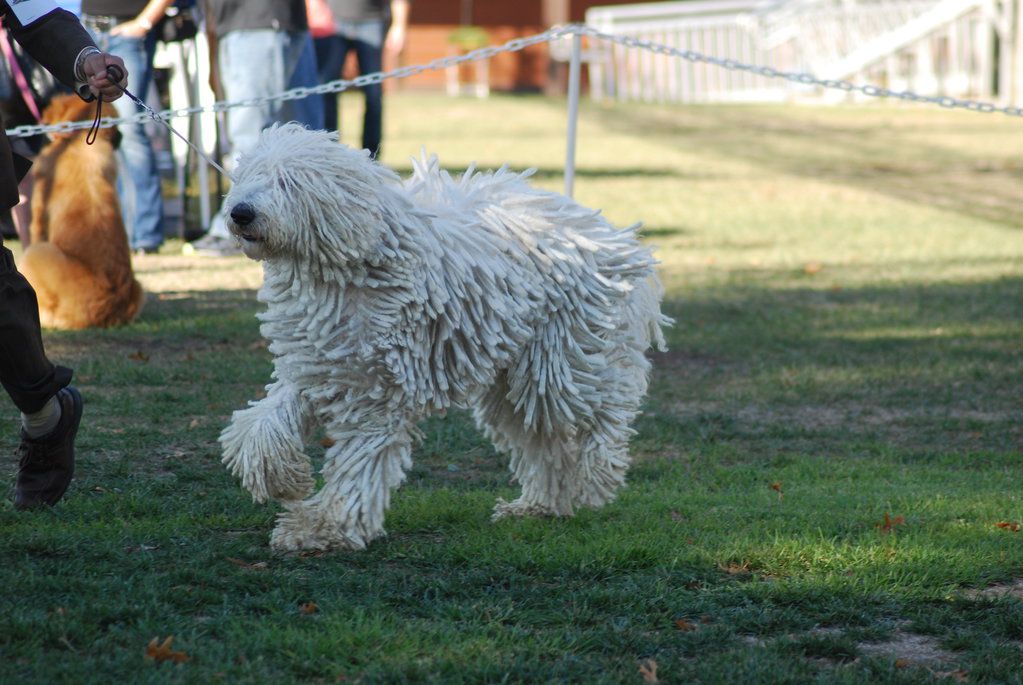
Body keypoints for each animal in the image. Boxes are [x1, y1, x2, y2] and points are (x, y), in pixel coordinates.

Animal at [219, 123, 671, 552]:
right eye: (248, 177)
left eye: (287, 182)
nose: (240, 212)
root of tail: (606, 233)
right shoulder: (316, 365)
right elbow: (261, 425)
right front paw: (283, 481)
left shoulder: (377, 389)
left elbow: (358, 462)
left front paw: (327, 526)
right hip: (517, 377)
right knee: (543, 438)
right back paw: (540, 505)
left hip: (563, 356)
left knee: (606, 405)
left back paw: (599, 471)